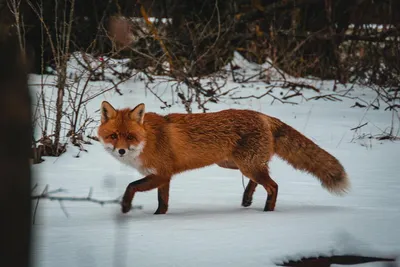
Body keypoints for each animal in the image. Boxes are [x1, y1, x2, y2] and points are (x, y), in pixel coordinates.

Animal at [98, 100, 348, 216]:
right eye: (114, 136)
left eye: (130, 136)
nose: (121, 151)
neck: (148, 139)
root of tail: (263, 116)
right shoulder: (164, 177)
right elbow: (163, 202)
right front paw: (159, 217)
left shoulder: (161, 174)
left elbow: (131, 186)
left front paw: (125, 207)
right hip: (234, 164)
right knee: (260, 179)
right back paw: (247, 199)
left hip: (245, 164)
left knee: (273, 185)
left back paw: (267, 212)